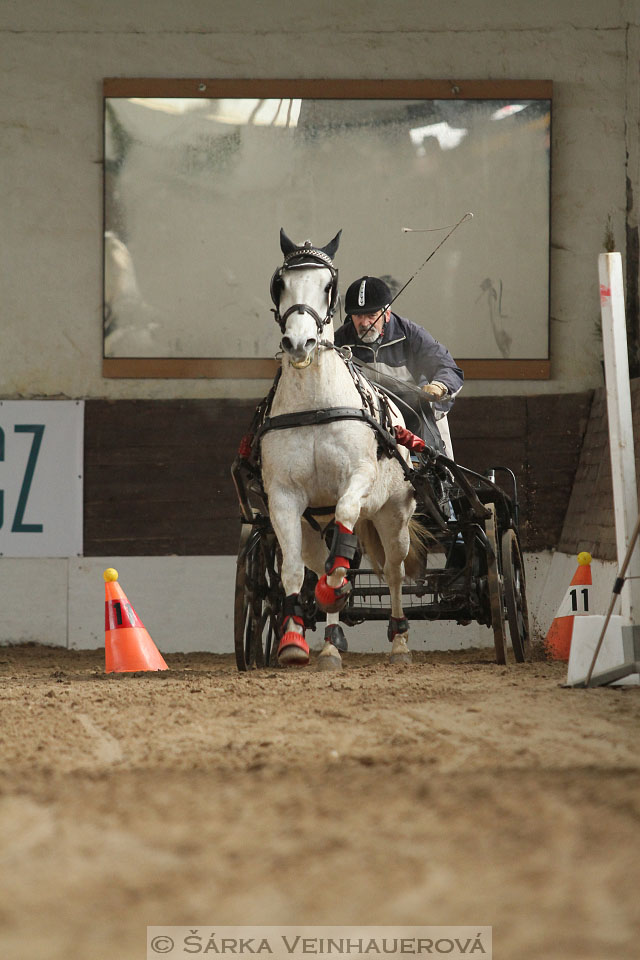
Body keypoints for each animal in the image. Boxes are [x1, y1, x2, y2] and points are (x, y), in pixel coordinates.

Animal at [260, 230, 424, 672]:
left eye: (327, 286)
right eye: (280, 283)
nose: (299, 342)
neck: (316, 403)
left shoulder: (358, 479)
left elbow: (347, 528)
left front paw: (333, 590)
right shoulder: (283, 497)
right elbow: (294, 572)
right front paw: (293, 640)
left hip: (393, 516)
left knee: (393, 571)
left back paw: (400, 642)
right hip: (313, 525)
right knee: (324, 561)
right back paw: (331, 643)